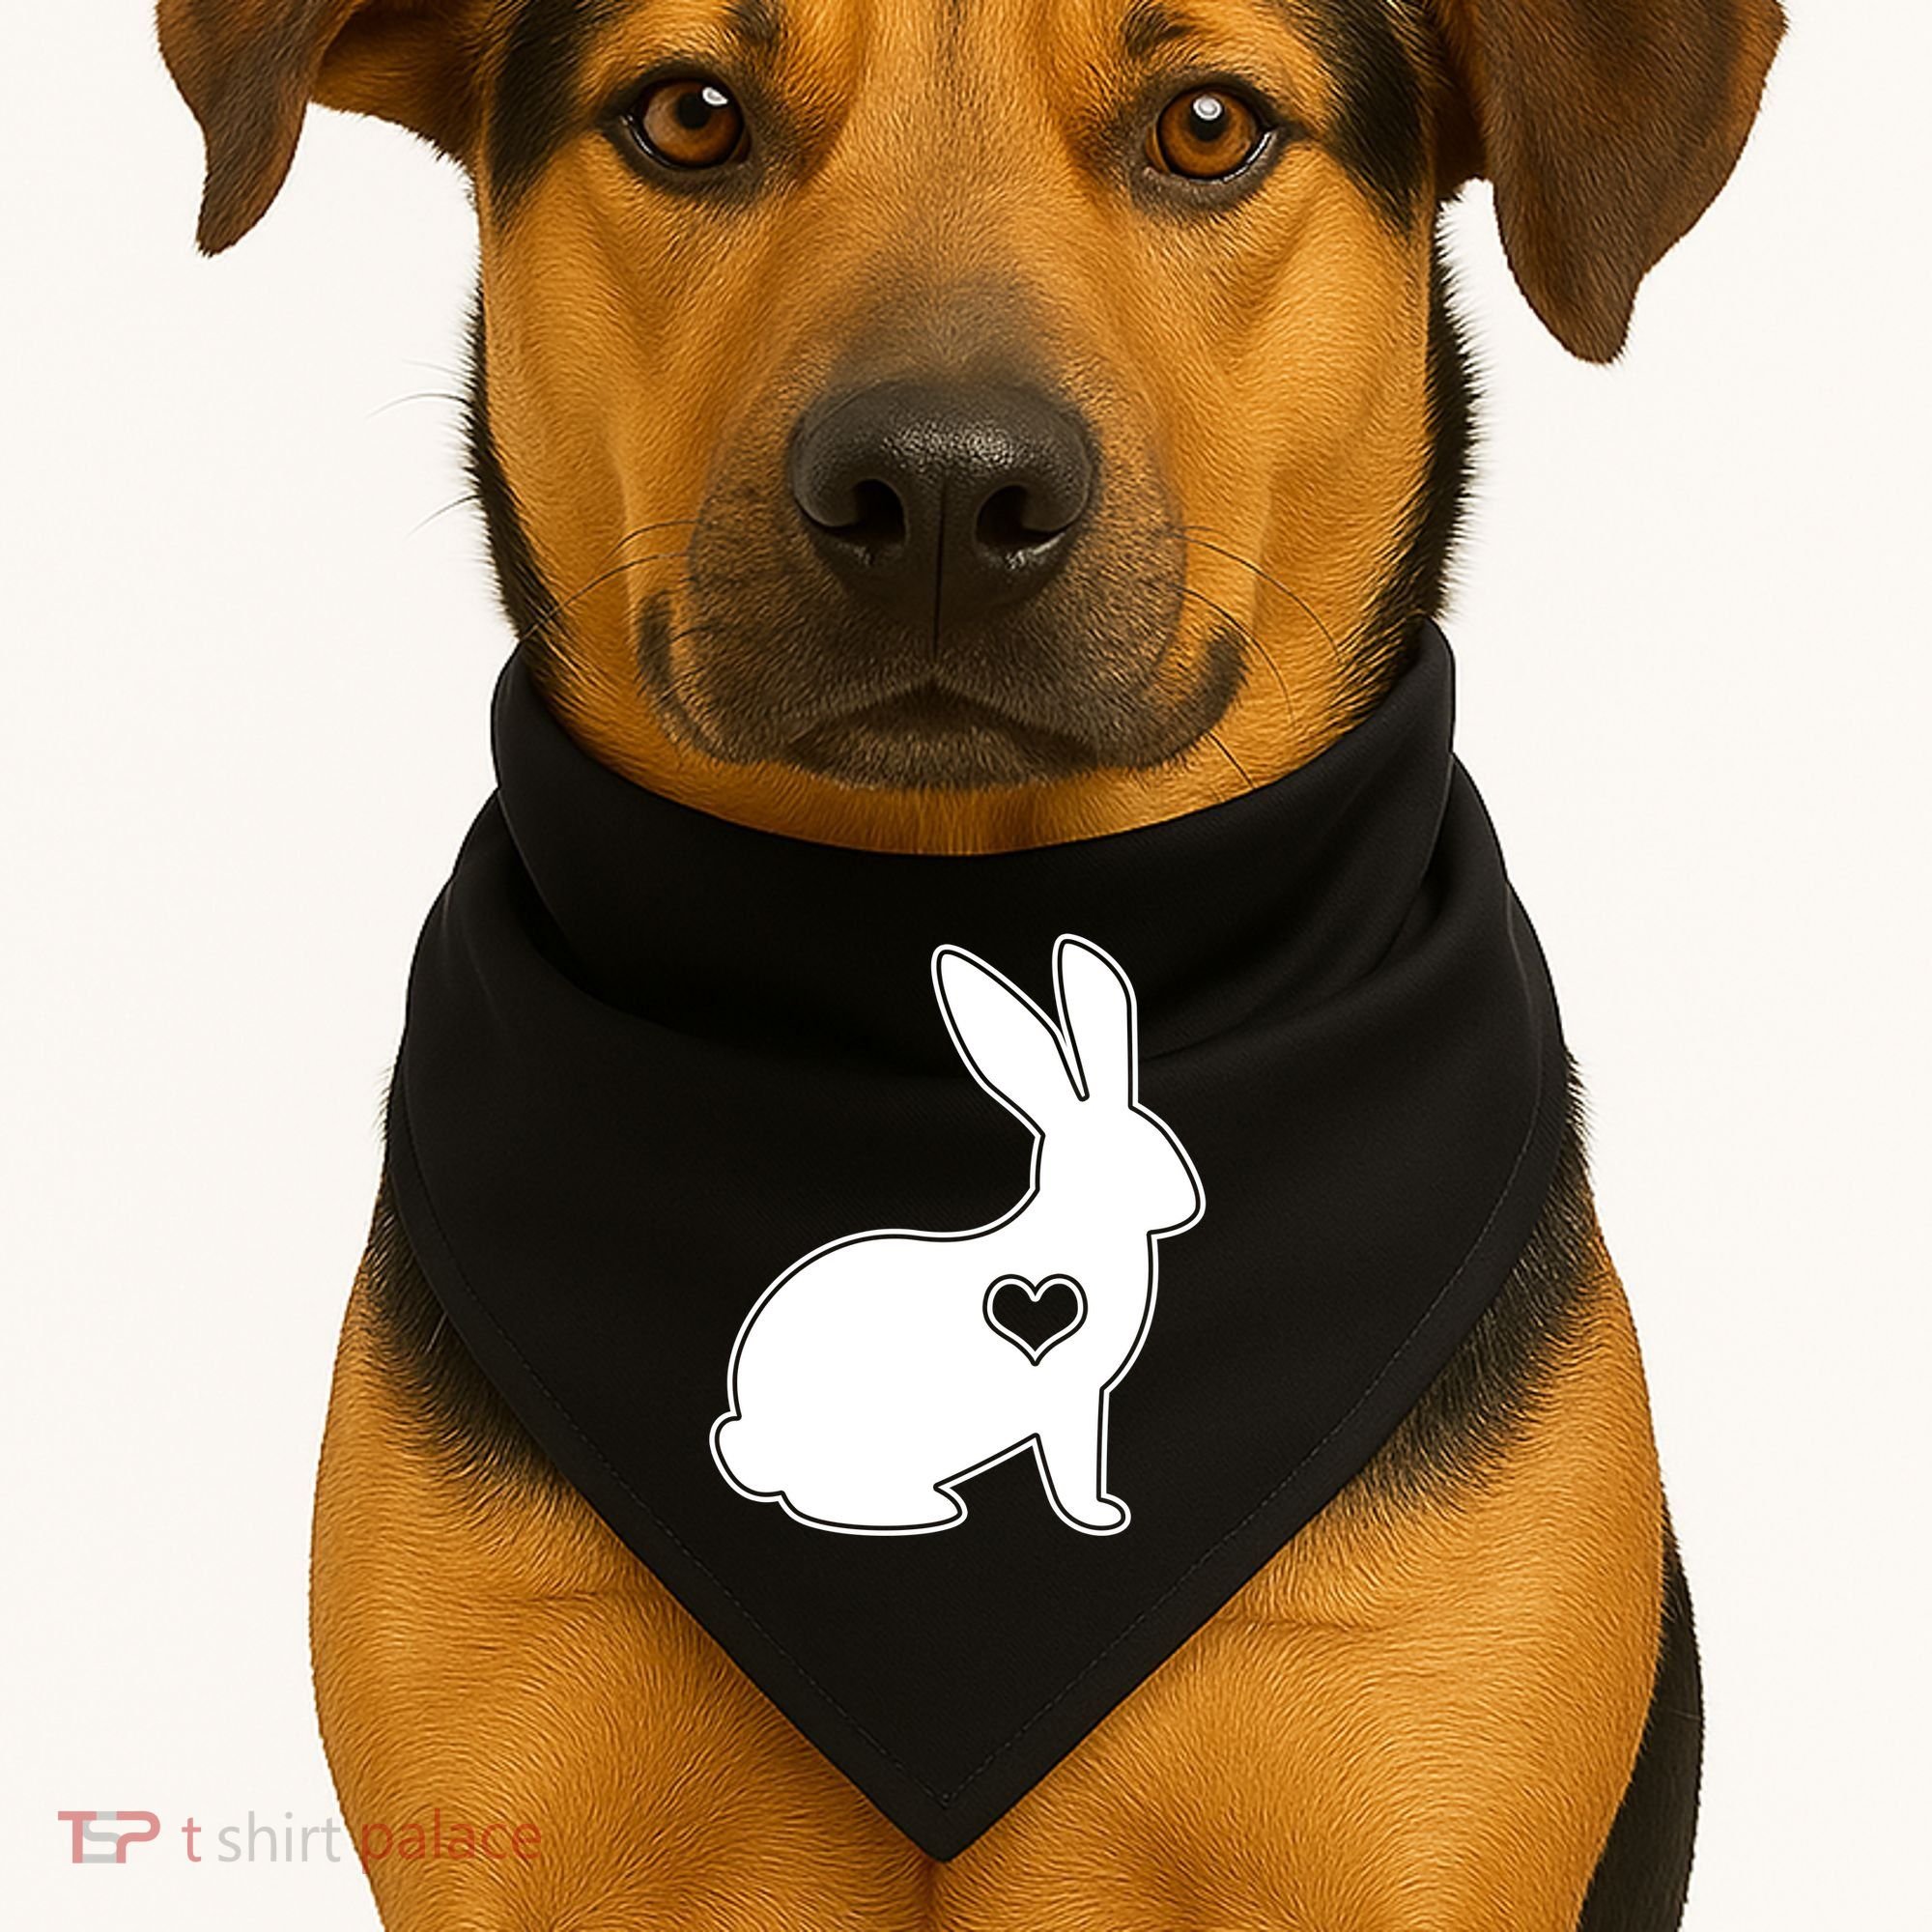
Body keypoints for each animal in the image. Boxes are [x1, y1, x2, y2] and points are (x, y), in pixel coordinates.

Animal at [711, 933, 1204, 1536]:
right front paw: (1097, 1513)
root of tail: (754, 1447)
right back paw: (921, 1509)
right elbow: (1071, 1465)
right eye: (1128, 1156)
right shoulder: (1071, 1398)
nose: (1188, 1203)